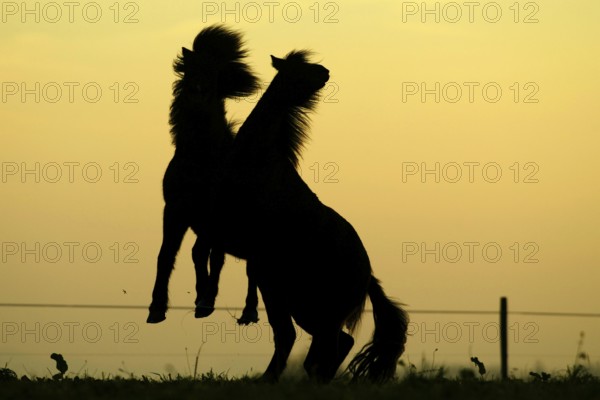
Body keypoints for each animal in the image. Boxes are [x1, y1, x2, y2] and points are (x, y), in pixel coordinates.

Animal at [147, 25, 260, 324]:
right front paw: (156, 307)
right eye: (191, 70)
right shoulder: (175, 209)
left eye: (214, 73)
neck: (199, 157)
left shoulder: (211, 213)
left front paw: (206, 301)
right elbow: (167, 254)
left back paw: (248, 310)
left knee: (246, 266)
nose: (199, 92)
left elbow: (205, 255)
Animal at [213, 51, 410, 382]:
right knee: (332, 343)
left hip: (309, 307)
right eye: (298, 67)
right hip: (299, 303)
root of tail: (367, 276)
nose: (325, 72)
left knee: (313, 340)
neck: (260, 160)